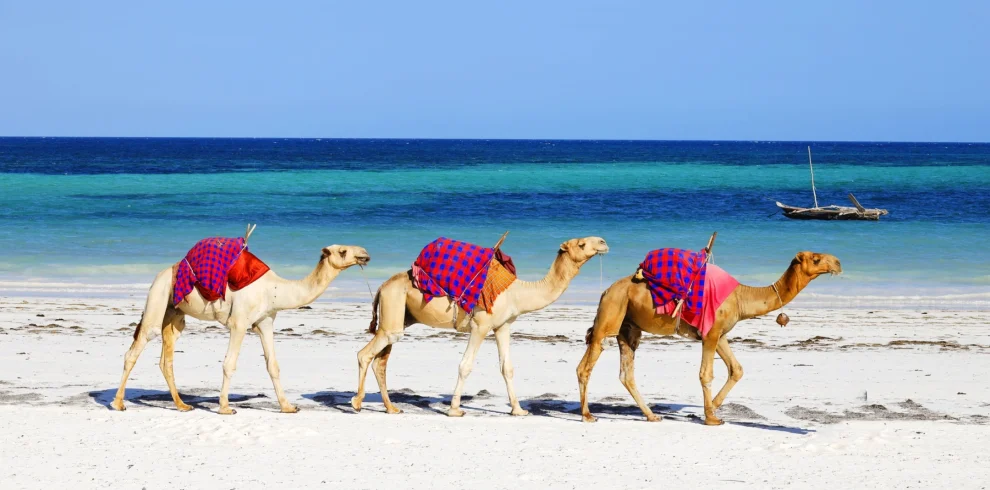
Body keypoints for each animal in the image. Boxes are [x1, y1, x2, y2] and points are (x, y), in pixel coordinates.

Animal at [111, 238, 370, 415]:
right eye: (343, 251)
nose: (365, 254)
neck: (274, 289)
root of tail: (162, 273)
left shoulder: (265, 321)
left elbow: (273, 365)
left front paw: (288, 406)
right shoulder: (240, 322)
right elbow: (229, 363)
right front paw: (225, 407)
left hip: (174, 312)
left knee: (167, 358)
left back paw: (182, 405)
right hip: (158, 297)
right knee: (137, 346)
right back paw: (118, 403)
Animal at [352, 236, 609, 417]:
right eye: (582, 243)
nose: (603, 242)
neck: (517, 293)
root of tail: (382, 286)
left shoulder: (503, 326)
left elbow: (507, 368)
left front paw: (518, 410)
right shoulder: (481, 325)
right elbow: (465, 365)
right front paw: (455, 409)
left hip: (399, 315)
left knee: (380, 361)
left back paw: (391, 408)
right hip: (393, 308)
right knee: (365, 354)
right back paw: (356, 403)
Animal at [577, 251, 841, 425]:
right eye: (816, 259)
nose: (838, 263)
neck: (742, 297)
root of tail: (605, 291)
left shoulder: (720, 334)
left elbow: (737, 369)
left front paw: (711, 407)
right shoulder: (710, 334)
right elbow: (706, 374)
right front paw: (711, 418)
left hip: (628, 327)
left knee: (626, 373)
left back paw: (652, 415)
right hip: (610, 315)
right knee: (586, 365)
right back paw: (588, 415)